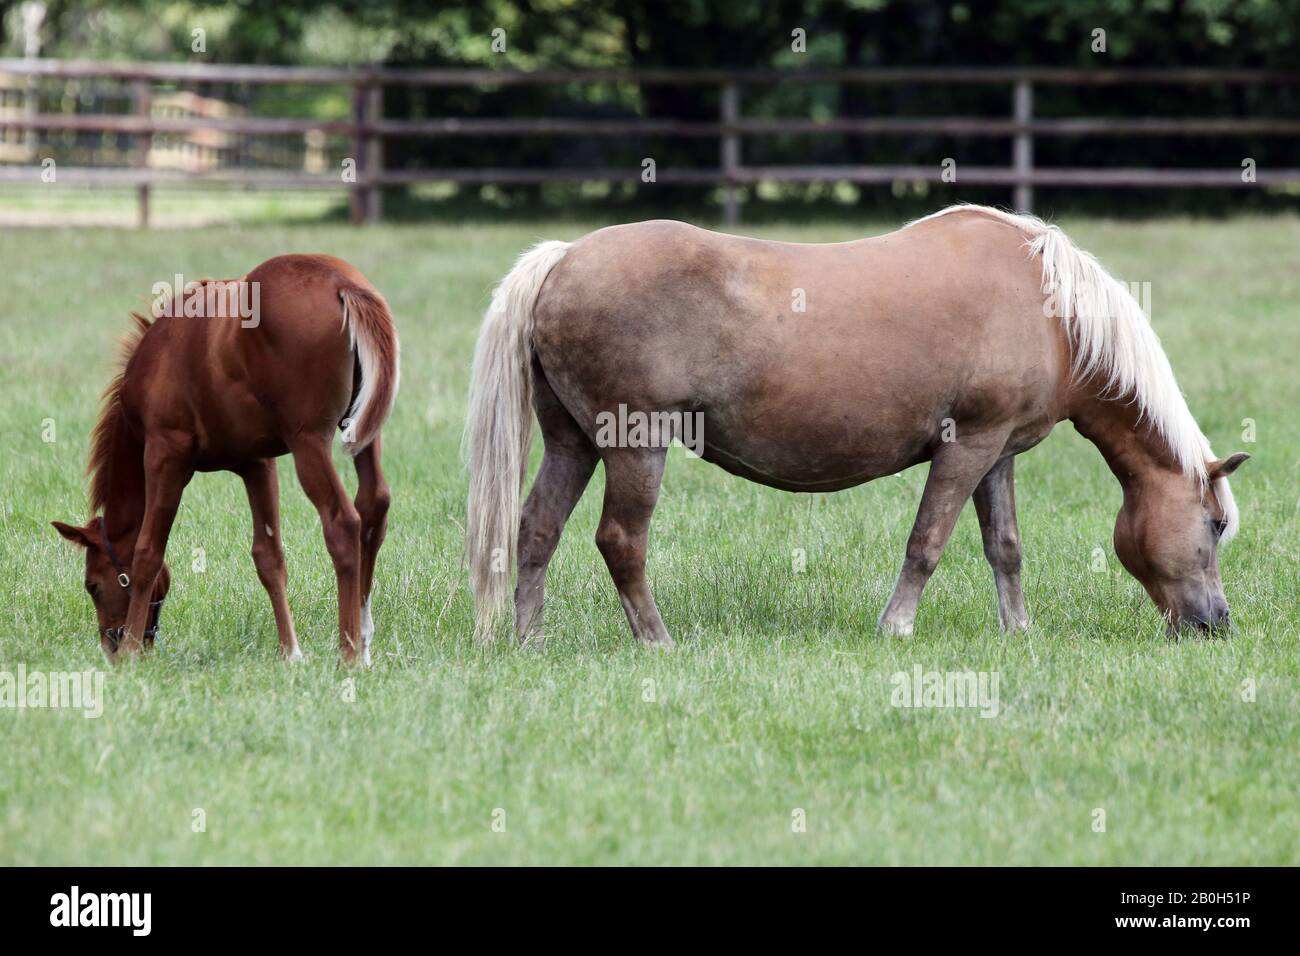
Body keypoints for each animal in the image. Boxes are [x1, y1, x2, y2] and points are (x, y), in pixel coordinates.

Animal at [53, 252, 395, 665]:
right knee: (373, 505)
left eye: (92, 585)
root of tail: (342, 283)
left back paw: (349, 652)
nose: (111, 647)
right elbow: (268, 556)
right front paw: (291, 653)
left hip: (308, 443)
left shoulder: (165, 454)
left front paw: (133, 652)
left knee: (343, 522)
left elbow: (147, 552)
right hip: (362, 434)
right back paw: (364, 640)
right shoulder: (257, 465)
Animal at [467, 204, 1248, 647]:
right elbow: (927, 543)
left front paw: (1018, 632)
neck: (1050, 308)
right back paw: (657, 641)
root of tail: (562, 260)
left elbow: (1005, 547)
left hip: (572, 442)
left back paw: (529, 639)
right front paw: (896, 628)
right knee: (621, 541)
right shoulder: (968, 445)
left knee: (536, 530)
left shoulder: (999, 452)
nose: (1215, 624)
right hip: (636, 446)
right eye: (1214, 526)